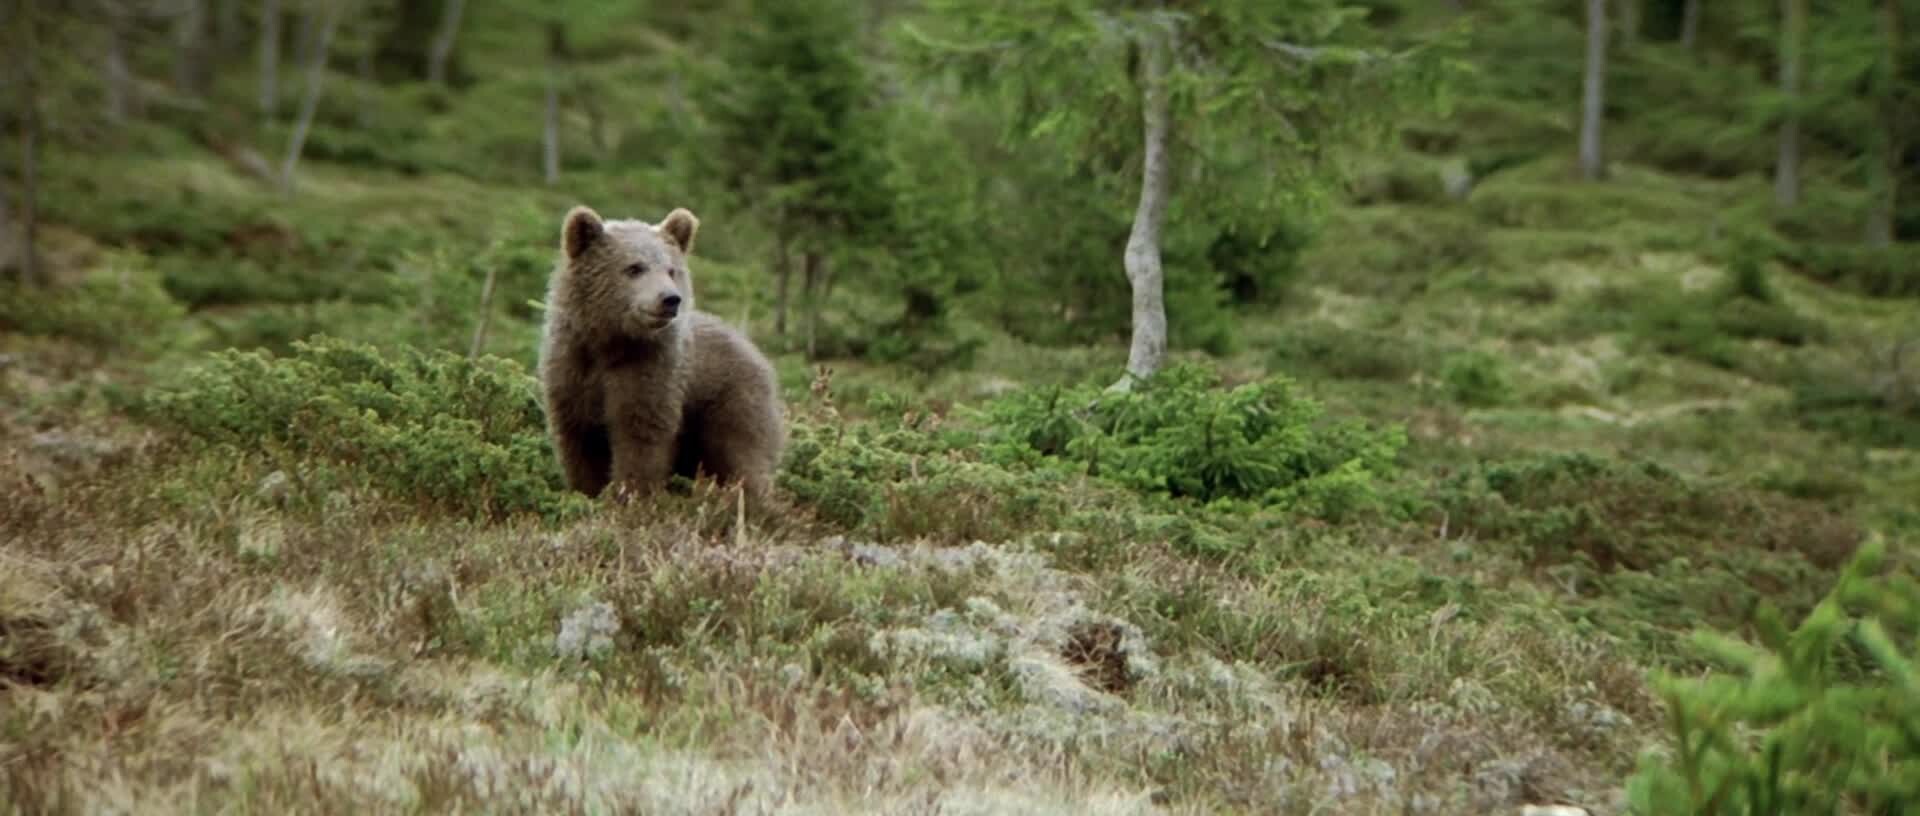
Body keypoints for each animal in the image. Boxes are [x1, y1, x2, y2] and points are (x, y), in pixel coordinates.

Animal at [537, 203, 783, 506]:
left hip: (732, 402)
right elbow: (580, 444)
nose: (670, 299)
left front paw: (631, 496)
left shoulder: (650, 374)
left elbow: (641, 441)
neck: (610, 343)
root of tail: (754, 349)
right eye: (634, 268)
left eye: (671, 270)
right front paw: (588, 493)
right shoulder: (571, 373)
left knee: (743, 456)